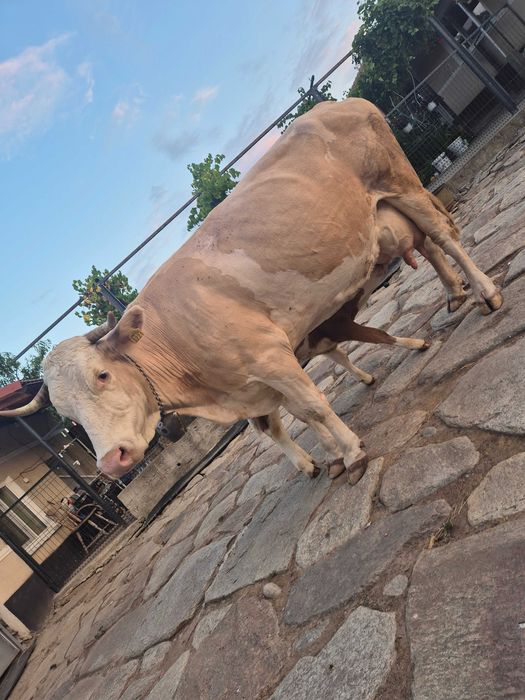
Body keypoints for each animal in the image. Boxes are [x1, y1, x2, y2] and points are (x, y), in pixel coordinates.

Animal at [0, 98, 502, 485]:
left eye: (102, 376)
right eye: (69, 417)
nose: (111, 461)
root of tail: (338, 103)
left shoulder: (270, 355)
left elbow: (312, 407)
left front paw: (353, 453)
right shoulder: (253, 385)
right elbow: (291, 418)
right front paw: (330, 459)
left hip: (399, 181)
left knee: (443, 235)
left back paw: (486, 293)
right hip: (385, 215)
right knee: (427, 245)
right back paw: (455, 295)